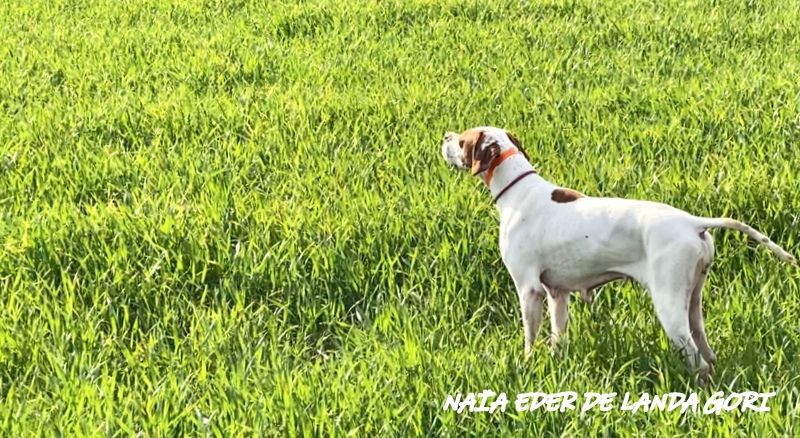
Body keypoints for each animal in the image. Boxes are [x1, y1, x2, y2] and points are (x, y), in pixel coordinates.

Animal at [440, 126, 796, 384]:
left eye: (463, 140)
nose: (444, 136)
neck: (518, 190)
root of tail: (693, 222)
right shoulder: (557, 294)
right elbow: (558, 337)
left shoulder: (529, 290)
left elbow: (530, 338)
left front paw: (527, 366)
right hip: (693, 301)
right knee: (706, 350)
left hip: (668, 305)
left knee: (697, 358)